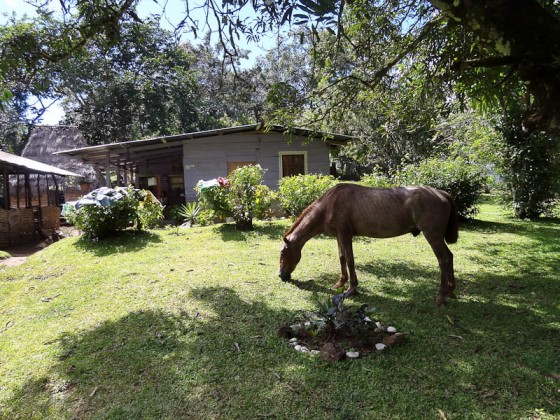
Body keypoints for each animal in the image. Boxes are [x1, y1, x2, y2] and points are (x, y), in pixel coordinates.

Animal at [280, 184, 460, 306]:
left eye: (282, 253)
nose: (281, 276)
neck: (329, 204)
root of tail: (442, 193)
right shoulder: (339, 236)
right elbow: (342, 258)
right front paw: (340, 283)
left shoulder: (345, 235)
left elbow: (350, 260)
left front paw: (352, 289)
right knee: (450, 257)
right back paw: (451, 291)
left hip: (433, 237)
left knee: (444, 259)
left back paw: (441, 295)